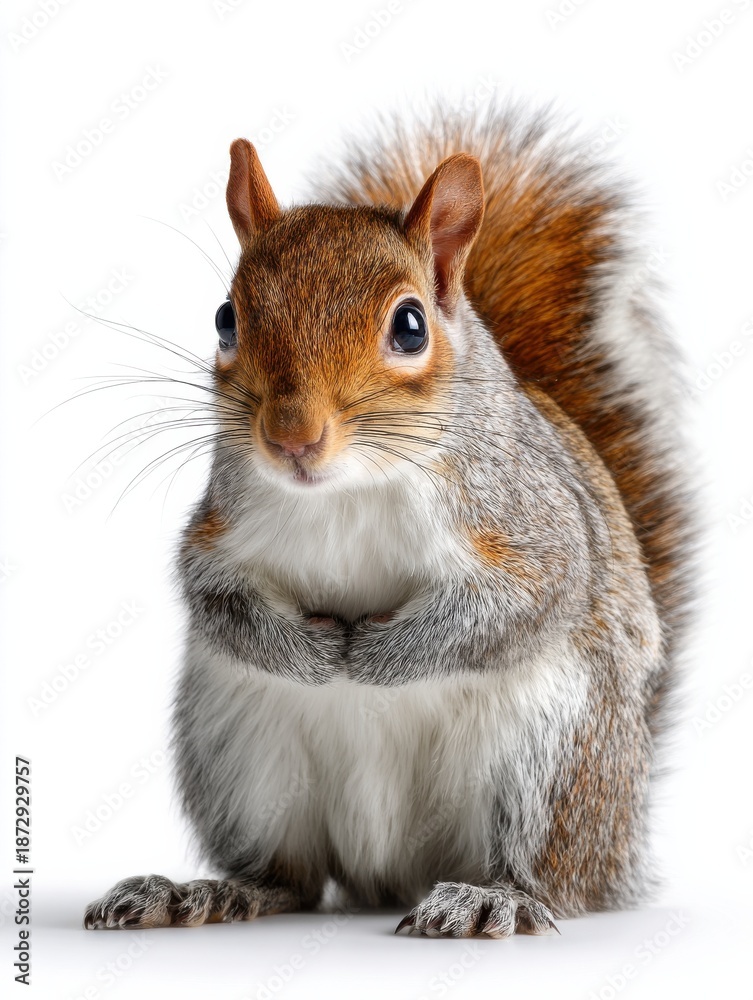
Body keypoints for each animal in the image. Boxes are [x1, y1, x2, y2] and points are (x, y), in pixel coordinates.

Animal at [84, 102, 693, 938]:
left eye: (409, 327)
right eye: (225, 319)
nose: (291, 437)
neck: (348, 486)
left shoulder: (530, 531)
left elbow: (520, 604)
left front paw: (374, 658)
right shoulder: (219, 532)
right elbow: (213, 595)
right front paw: (314, 655)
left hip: (554, 757)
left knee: (545, 875)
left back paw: (493, 897)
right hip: (239, 752)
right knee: (290, 877)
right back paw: (203, 893)